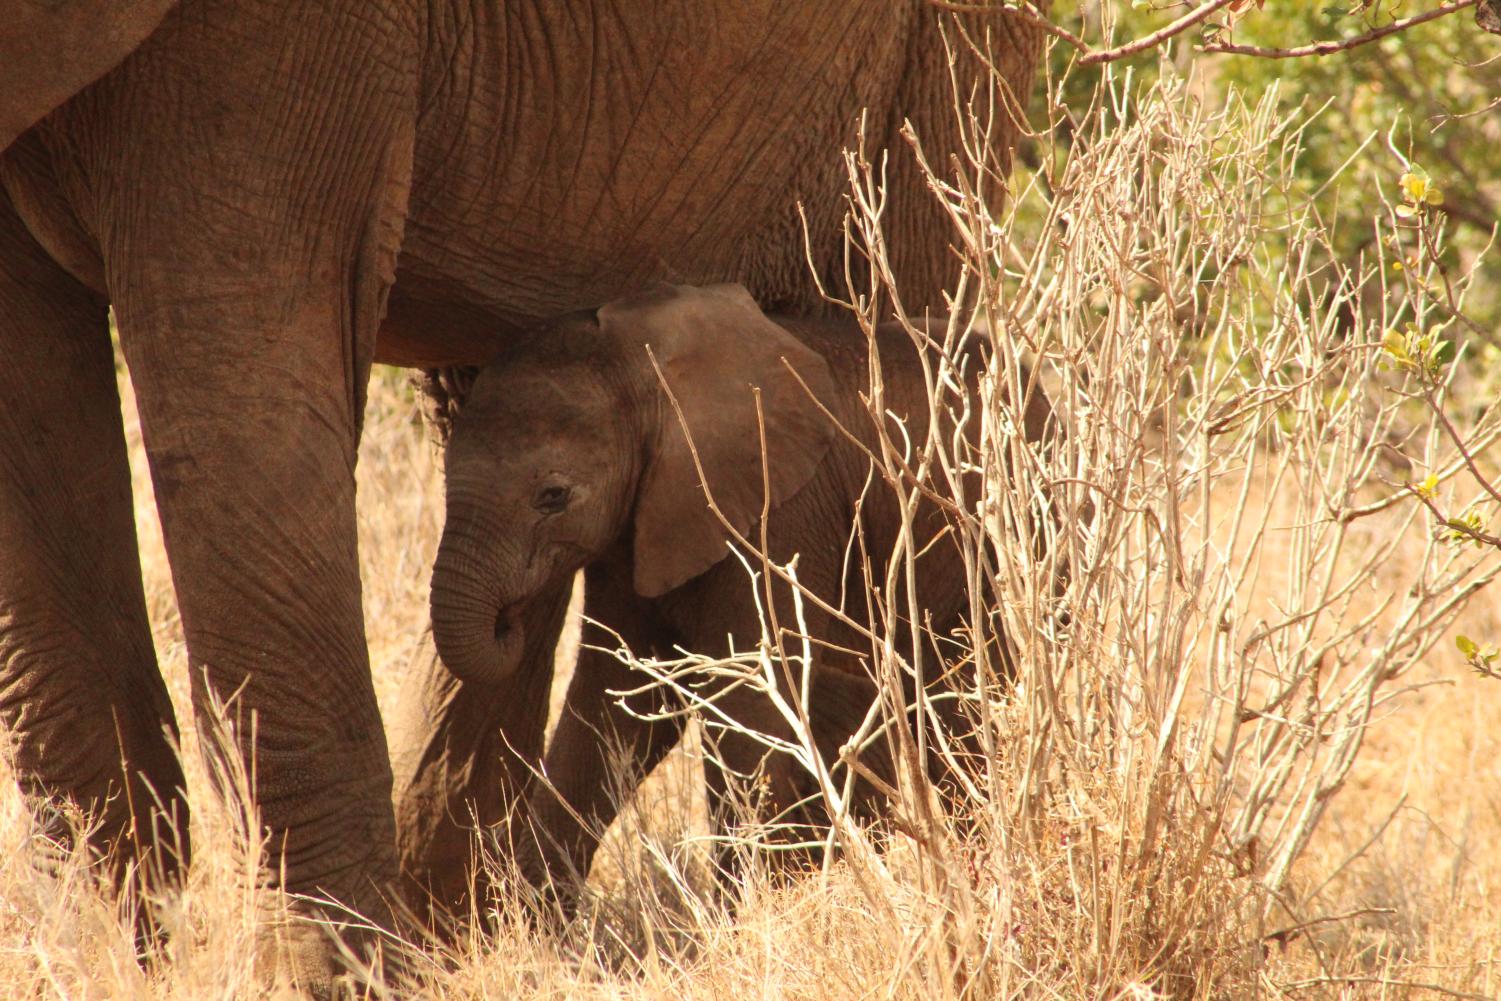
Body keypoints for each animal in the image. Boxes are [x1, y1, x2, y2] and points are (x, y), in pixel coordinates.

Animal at [429, 283, 1050, 906]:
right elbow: (618, 701)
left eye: (553, 497)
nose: (510, 620)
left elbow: (744, 697)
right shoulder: (636, 526)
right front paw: (534, 920)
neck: (644, 363)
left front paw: (749, 913)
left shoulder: (779, 512)